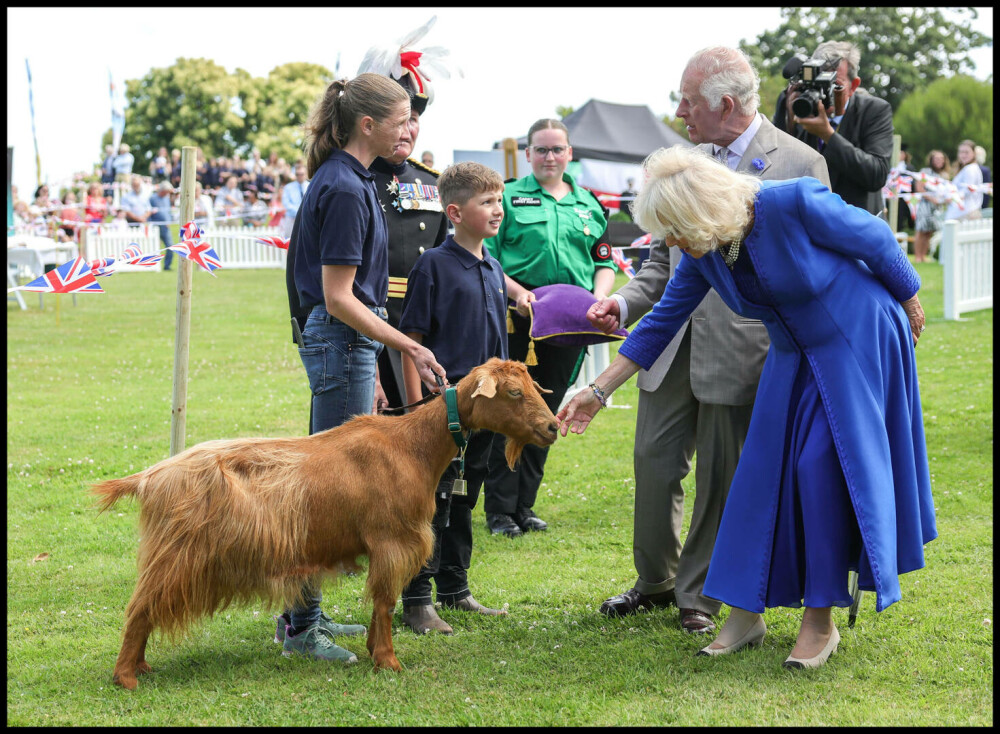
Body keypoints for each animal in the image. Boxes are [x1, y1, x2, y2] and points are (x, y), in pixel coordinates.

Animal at [90, 360, 560, 692]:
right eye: (514, 392)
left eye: (533, 388)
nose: (553, 427)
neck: (412, 445)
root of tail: (149, 477)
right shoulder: (392, 541)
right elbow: (385, 601)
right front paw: (388, 661)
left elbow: (379, 604)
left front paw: (374, 651)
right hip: (177, 555)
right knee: (138, 608)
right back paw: (125, 677)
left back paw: (141, 666)